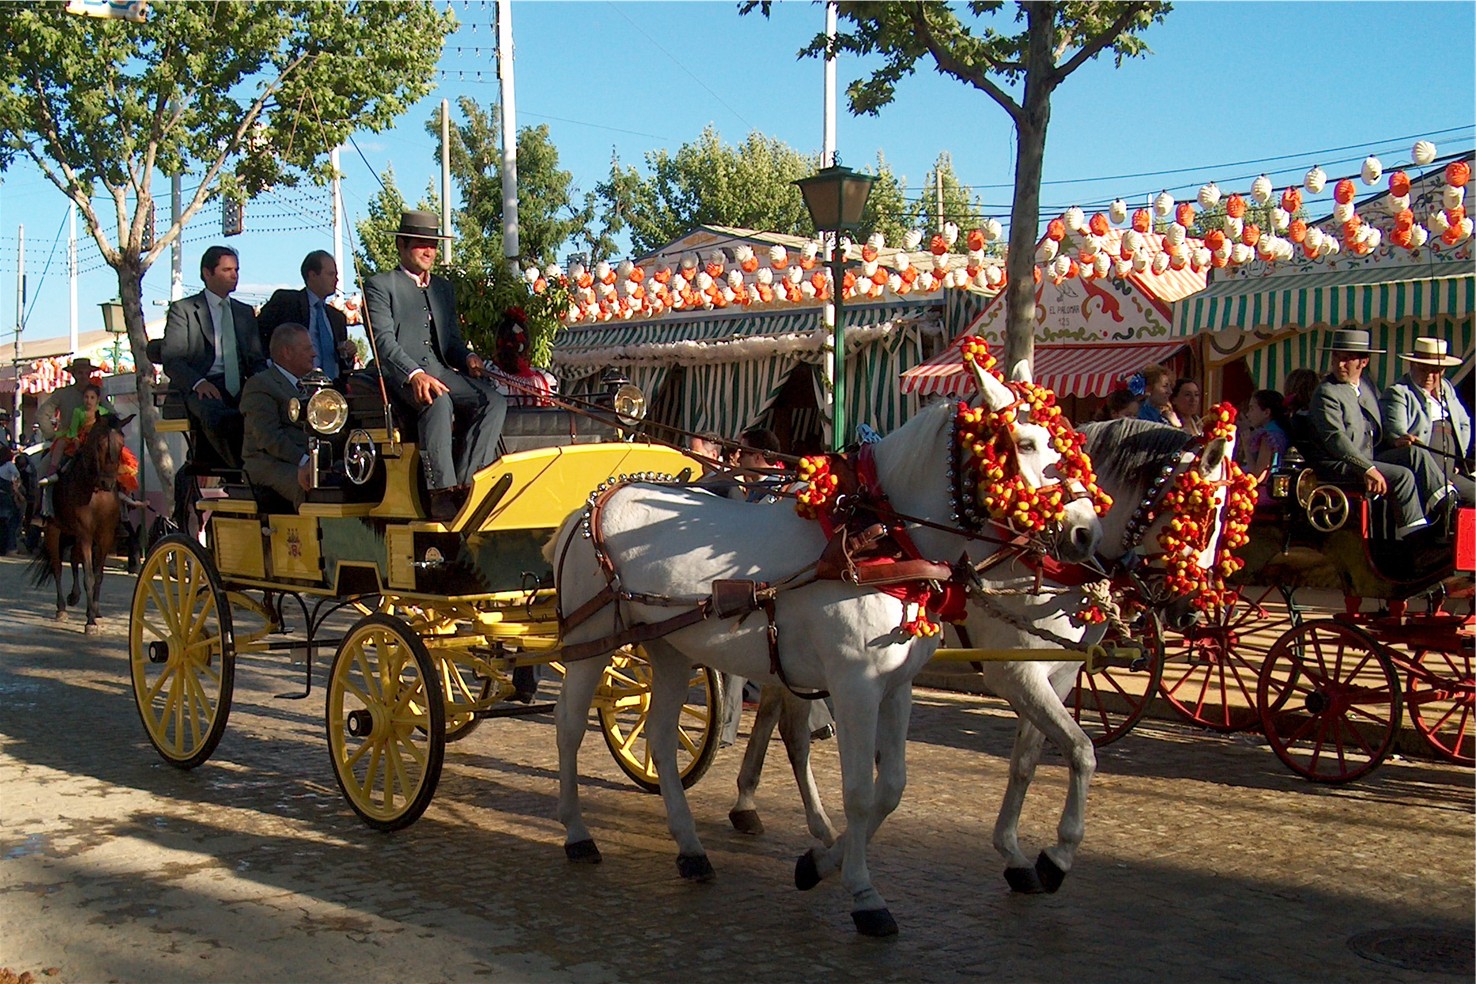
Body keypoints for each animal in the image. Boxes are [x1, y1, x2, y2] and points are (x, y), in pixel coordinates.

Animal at [31, 413, 134, 634]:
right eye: (99, 444)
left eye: (121, 444)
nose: (108, 483)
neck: (94, 491)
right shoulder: (85, 534)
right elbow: (89, 576)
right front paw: (91, 622)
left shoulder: (104, 536)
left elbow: (98, 575)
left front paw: (95, 613)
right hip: (54, 531)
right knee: (57, 566)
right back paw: (62, 608)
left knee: (74, 558)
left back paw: (76, 597)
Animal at [549, 361, 1104, 938]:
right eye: (1026, 442)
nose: (1086, 533)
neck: (877, 538)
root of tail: (596, 501)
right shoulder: (856, 684)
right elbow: (858, 791)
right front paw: (863, 893)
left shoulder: (897, 686)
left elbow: (892, 787)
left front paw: (819, 863)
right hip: (590, 643)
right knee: (569, 726)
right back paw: (578, 833)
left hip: (670, 647)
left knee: (658, 735)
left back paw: (690, 847)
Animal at [726, 418, 1233, 896]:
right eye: (1204, 515)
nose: (1193, 610)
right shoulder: (1016, 674)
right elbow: (1082, 750)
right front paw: (1057, 855)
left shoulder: (1059, 675)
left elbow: (1029, 759)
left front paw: (1015, 853)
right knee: (792, 732)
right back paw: (798, 820)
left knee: (778, 718)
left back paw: (758, 806)